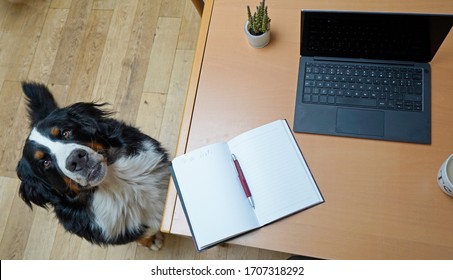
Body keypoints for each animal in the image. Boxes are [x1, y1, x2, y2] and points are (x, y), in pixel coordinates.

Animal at [16, 82, 170, 250]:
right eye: (45, 163)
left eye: (66, 132)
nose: (76, 159)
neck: (119, 185)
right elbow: (142, 235)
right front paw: (151, 241)